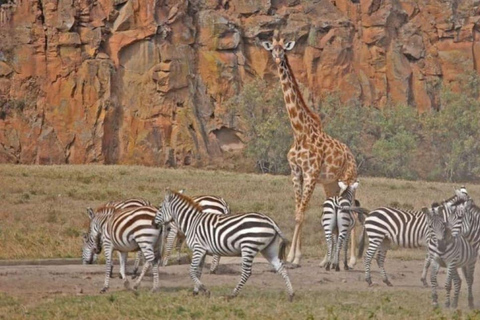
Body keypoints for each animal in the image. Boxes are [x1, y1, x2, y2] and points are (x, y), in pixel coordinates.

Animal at [152, 189, 294, 302]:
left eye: (160, 207)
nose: (153, 223)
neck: (192, 222)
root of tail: (270, 221)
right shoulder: (203, 251)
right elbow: (198, 272)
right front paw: (196, 292)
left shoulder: (198, 249)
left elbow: (191, 271)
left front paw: (205, 291)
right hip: (268, 249)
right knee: (281, 268)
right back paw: (291, 295)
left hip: (248, 247)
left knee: (246, 272)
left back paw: (232, 294)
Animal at [260, 31, 358, 268]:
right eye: (272, 48)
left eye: (283, 48)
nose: (277, 58)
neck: (299, 132)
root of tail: (353, 156)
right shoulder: (296, 172)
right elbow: (298, 211)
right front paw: (294, 256)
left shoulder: (311, 172)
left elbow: (301, 213)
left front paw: (293, 257)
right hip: (331, 184)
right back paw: (326, 260)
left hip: (349, 180)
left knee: (353, 213)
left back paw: (351, 260)